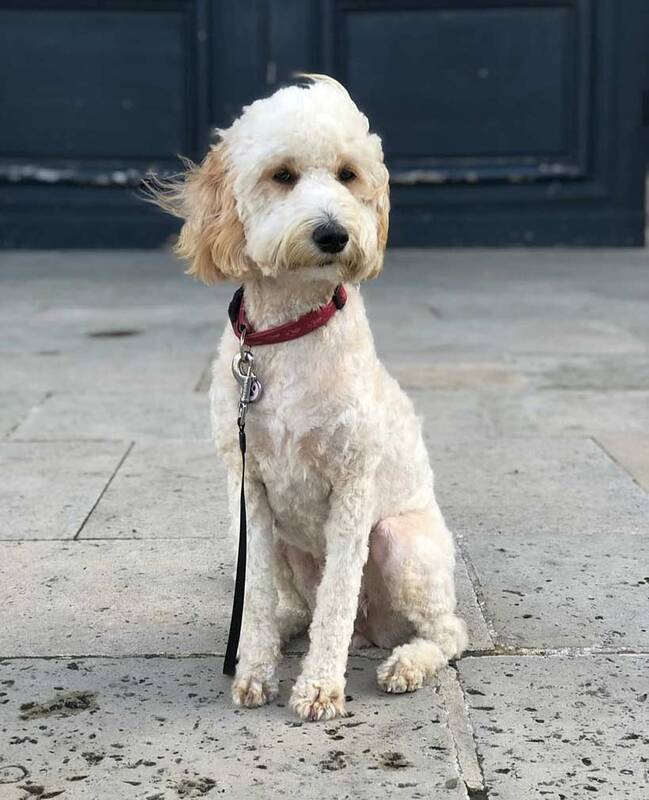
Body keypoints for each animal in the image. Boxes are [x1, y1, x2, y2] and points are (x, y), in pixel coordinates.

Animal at [152, 76, 466, 724]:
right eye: (283, 175)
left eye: (348, 174)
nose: (333, 233)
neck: (291, 332)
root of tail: (375, 633)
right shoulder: (247, 486)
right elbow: (256, 596)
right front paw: (253, 670)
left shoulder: (351, 484)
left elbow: (336, 601)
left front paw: (319, 688)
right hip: (279, 543)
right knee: (290, 604)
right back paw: (281, 632)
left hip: (402, 543)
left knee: (445, 632)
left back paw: (405, 664)